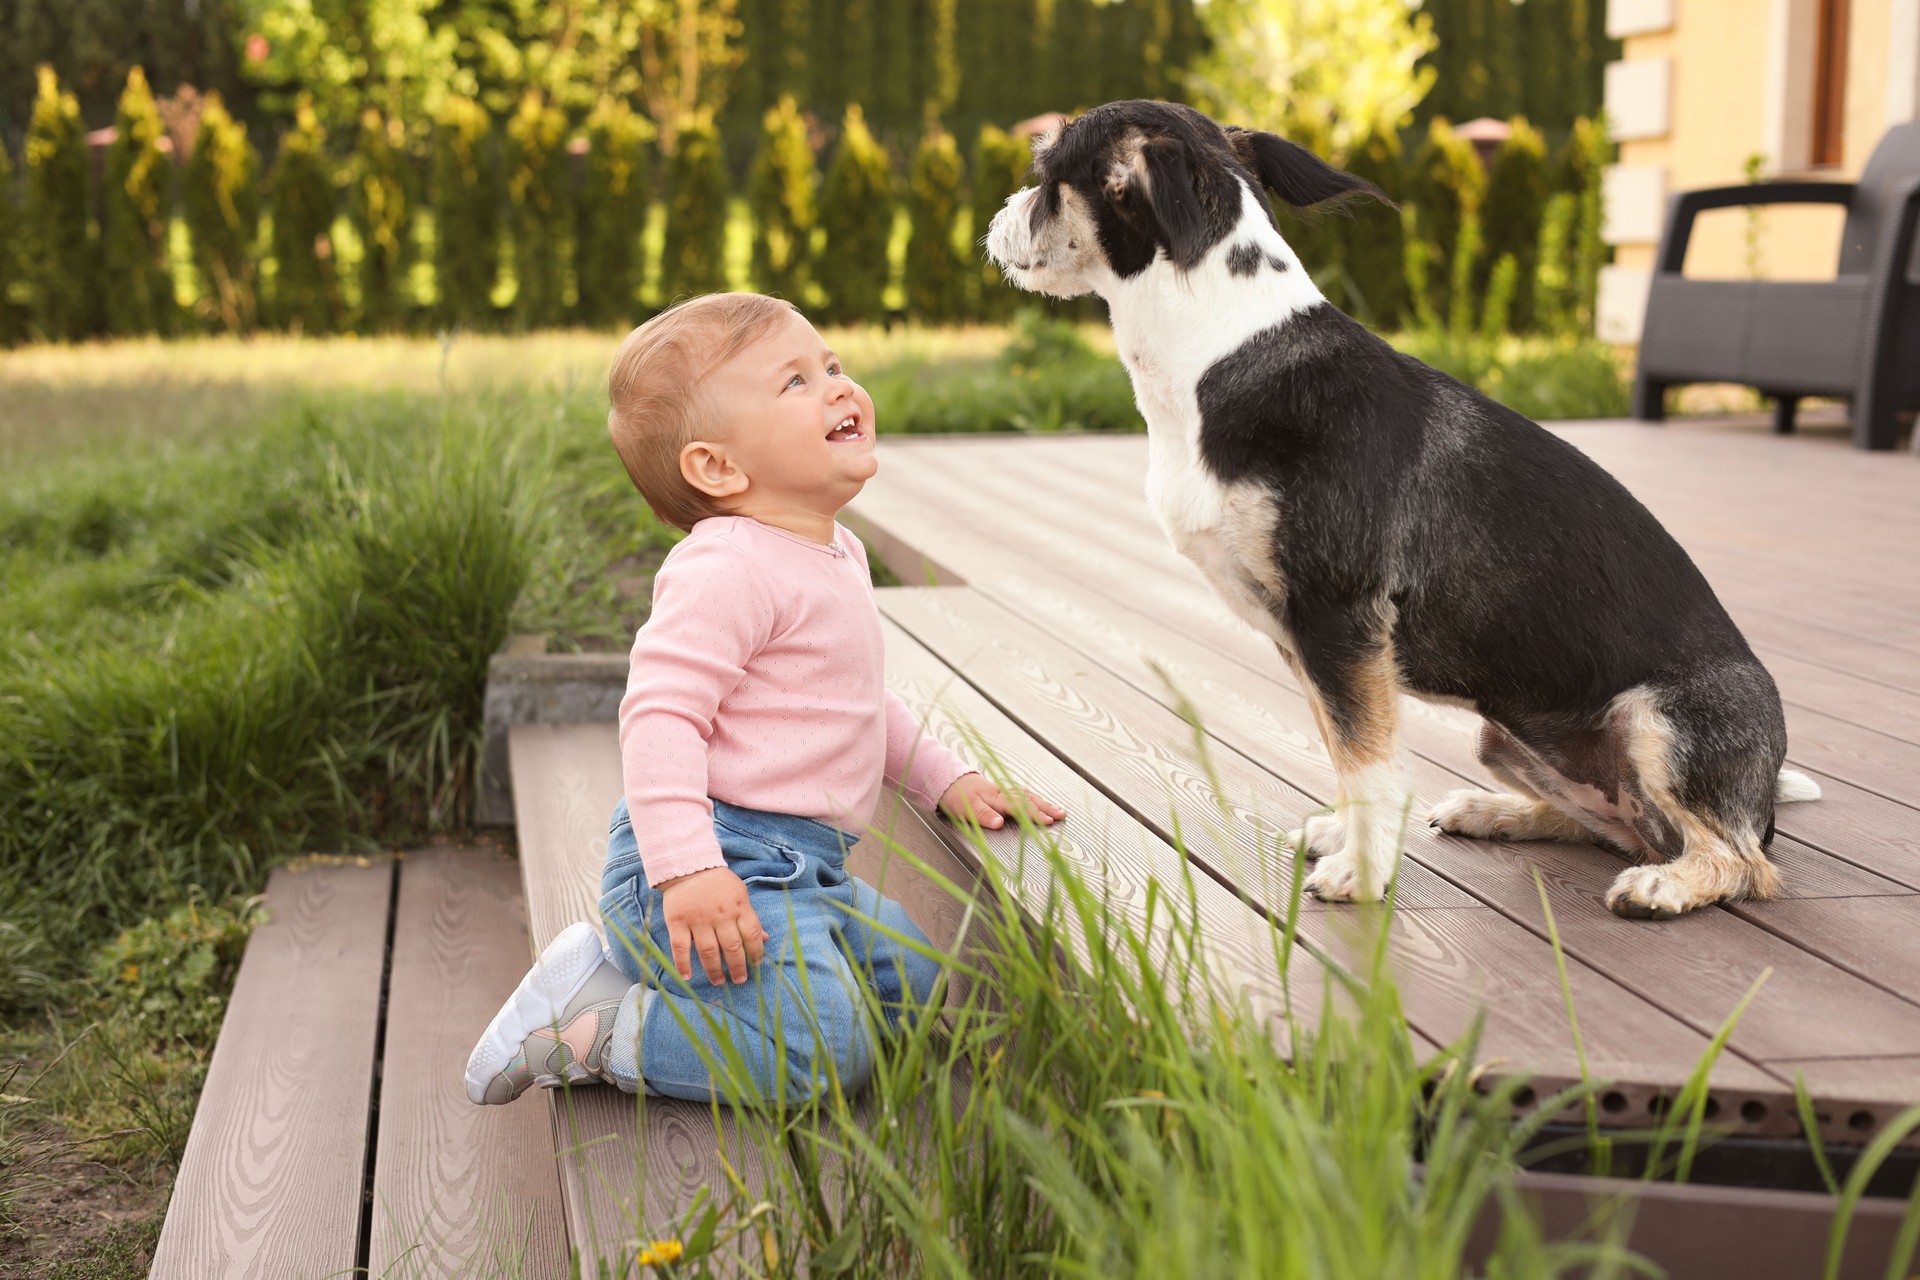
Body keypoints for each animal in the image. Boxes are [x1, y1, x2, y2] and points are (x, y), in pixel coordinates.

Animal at [983, 102, 1820, 921]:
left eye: (1046, 176)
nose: (997, 220)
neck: (1219, 353)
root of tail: (1762, 798)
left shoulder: (1341, 622)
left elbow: (1370, 764)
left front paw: (1361, 873)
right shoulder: (1308, 642)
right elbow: (1341, 749)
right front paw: (1347, 837)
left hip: (1659, 725)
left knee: (1736, 862)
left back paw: (1664, 886)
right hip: (1501, 737)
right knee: (1613, 826)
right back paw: (1495, 812)